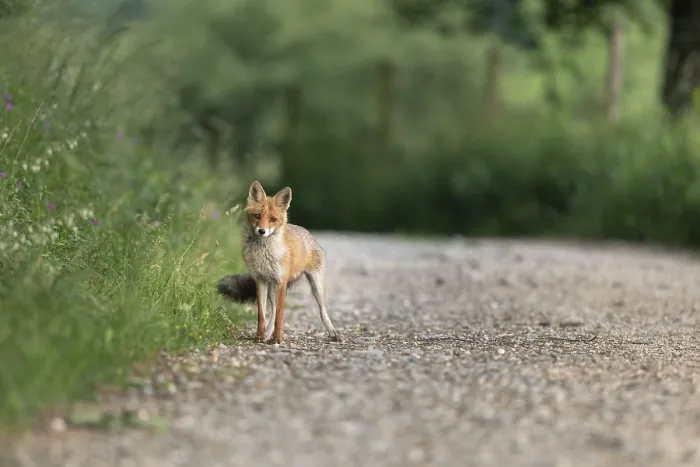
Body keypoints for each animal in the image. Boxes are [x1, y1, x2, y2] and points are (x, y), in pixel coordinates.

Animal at [217, 180, 341, 345]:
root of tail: (307, 232)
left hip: (315, 285)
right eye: (257, 216)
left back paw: (333, 333)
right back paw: (266, 334)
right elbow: (262, 314)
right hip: (272, 288)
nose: (262, 231)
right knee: (273, 310)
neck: (263, 254)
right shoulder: (260, 280)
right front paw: (260, 336)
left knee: (322, 311)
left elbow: (280, 315)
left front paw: (277, 339)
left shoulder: (281, 281)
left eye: (273, 219)